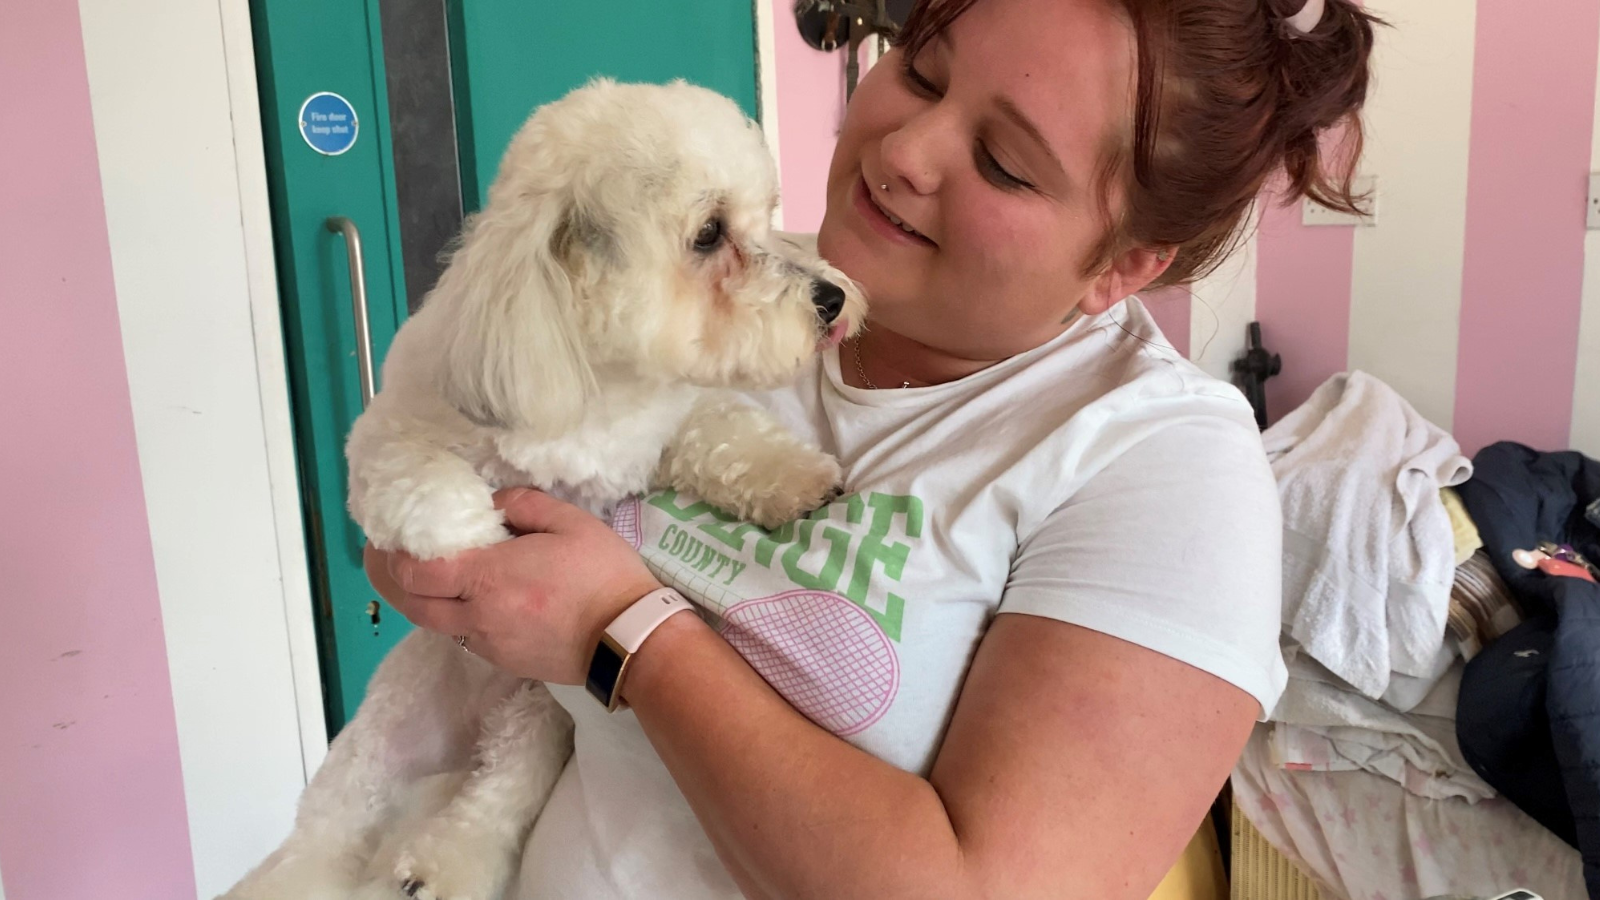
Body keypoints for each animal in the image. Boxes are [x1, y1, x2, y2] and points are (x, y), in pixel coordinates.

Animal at [225, 78, 864, 896]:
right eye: (709, 233)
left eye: (766, 215)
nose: (831, 298)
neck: (591, 374)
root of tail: (462, 740)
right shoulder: (386, 436)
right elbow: (426, 480)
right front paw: (477, 535)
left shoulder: (662, 430)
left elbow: (722, 431)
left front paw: (793, 478)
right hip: (371, 752)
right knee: (322, 841)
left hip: (536, 716)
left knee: (494, 795)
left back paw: (444, 865)